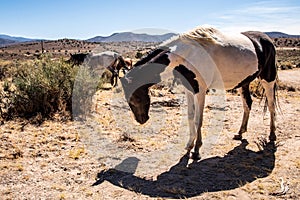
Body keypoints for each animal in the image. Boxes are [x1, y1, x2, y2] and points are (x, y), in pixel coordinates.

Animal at [120, 27, 278, 161]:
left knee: (271, 105)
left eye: (135, 97)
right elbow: (190, 116)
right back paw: (240, 132)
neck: (186, 55)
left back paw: (272, 134)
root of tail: (266, 39)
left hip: (268, 79)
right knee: (248, 104)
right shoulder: (189, 90)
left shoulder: (200, 91)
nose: (141, 120)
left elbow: (198, 120)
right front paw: (189, 145)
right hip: (243, 83)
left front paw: (196, 150)